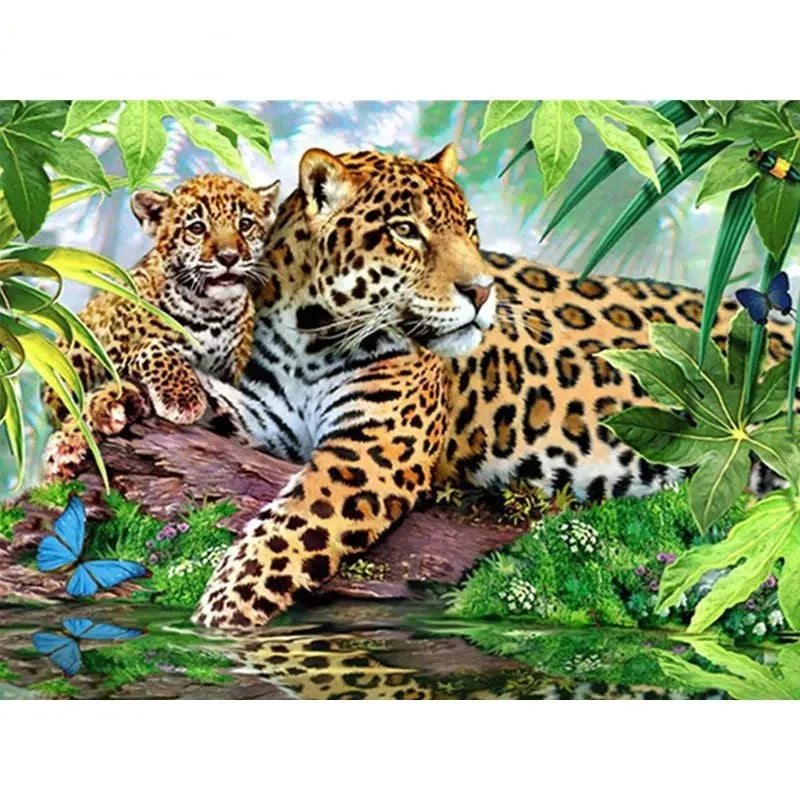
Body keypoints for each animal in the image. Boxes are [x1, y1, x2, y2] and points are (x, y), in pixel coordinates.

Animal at [43, 173, 280, 477]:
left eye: (245, 224)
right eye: (197, 228)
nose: (229, 258)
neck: (211, 310)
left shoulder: (232, 375)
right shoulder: (110, 354)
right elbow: (153, 346)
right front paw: (183, 398)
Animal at [75, 145, 788, 630]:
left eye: (469, 230)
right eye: (406, 231)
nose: (483, 291)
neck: (309, 335)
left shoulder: (371, 451)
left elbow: (285, 531)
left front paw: (218, 614)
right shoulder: (264, 417)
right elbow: (205, 407)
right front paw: (113, 406)